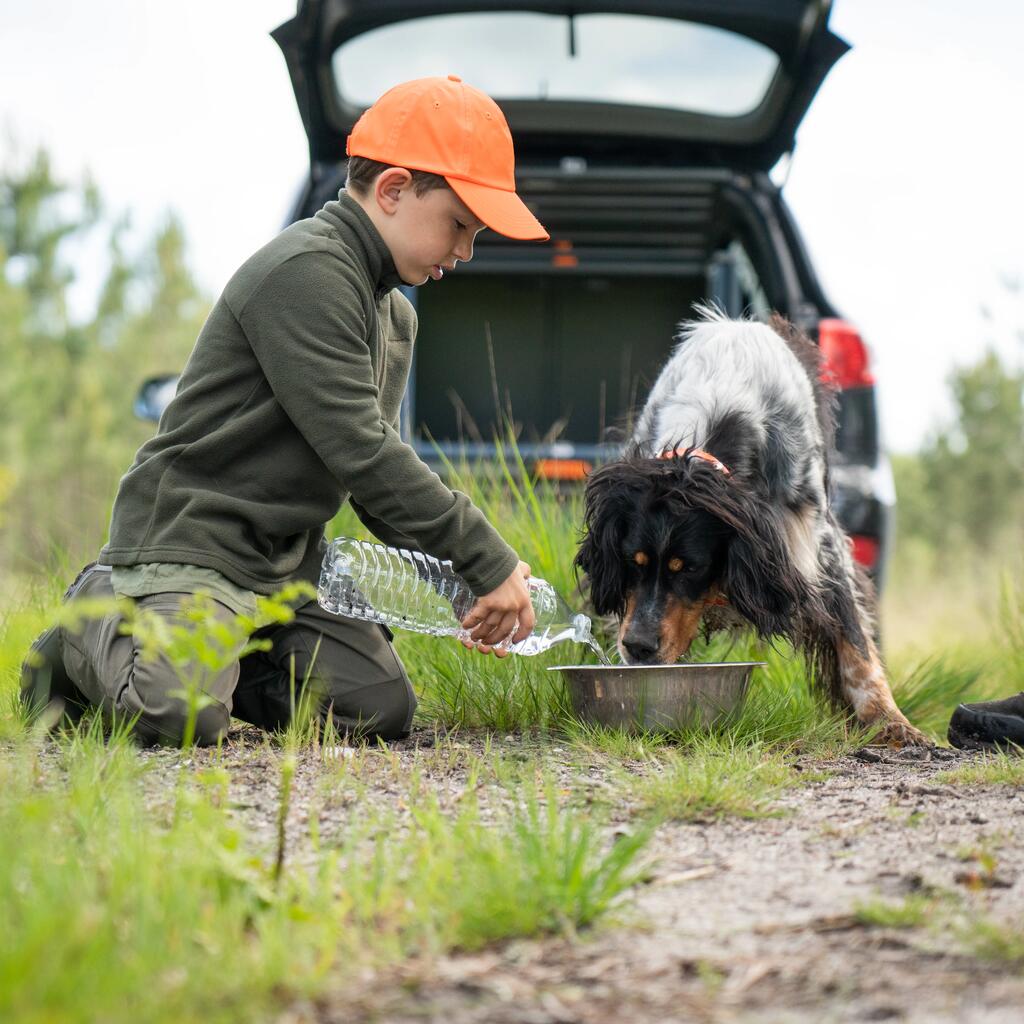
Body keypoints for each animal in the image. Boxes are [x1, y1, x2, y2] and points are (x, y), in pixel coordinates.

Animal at [577, 307, 929, 749]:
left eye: (689, 568)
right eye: (631, 561)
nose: (638, 646)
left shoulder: (818, 543)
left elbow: (854, 639)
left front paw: (887, 718)